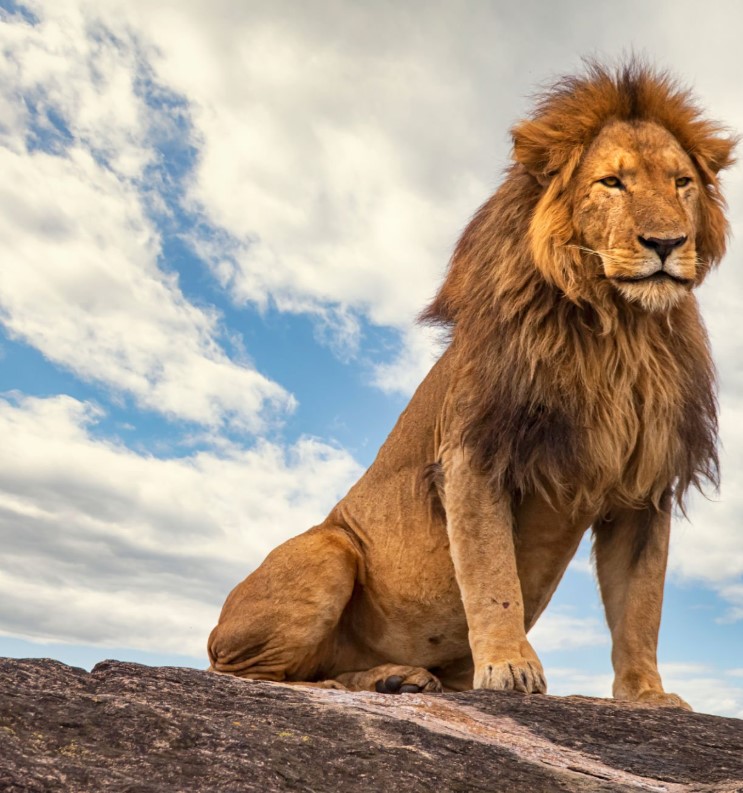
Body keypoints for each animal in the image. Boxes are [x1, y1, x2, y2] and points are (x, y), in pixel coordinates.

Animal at [207, 61, 736, 707]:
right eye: (612, 183)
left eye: (682, 183)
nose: (666, 244)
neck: (620, 331)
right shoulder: (474, 454)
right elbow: (492, 576)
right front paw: (510, 668)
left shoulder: (645, 486)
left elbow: (641, 604)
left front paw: (647, 695)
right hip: (326, 552)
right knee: (257, 674)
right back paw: (369, 680)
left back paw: (398, 676)